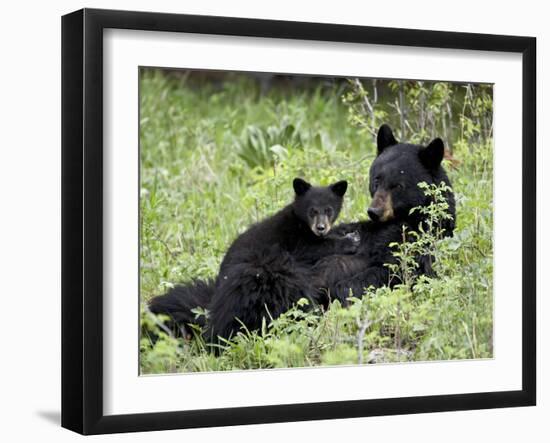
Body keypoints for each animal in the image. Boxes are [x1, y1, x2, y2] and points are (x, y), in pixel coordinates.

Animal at [149, 179, 360, 342]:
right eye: (312, 211)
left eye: (329, 210)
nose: (321, 228)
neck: (302, 225)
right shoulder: (294, 240)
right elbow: (314, 248)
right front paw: (350, 240)